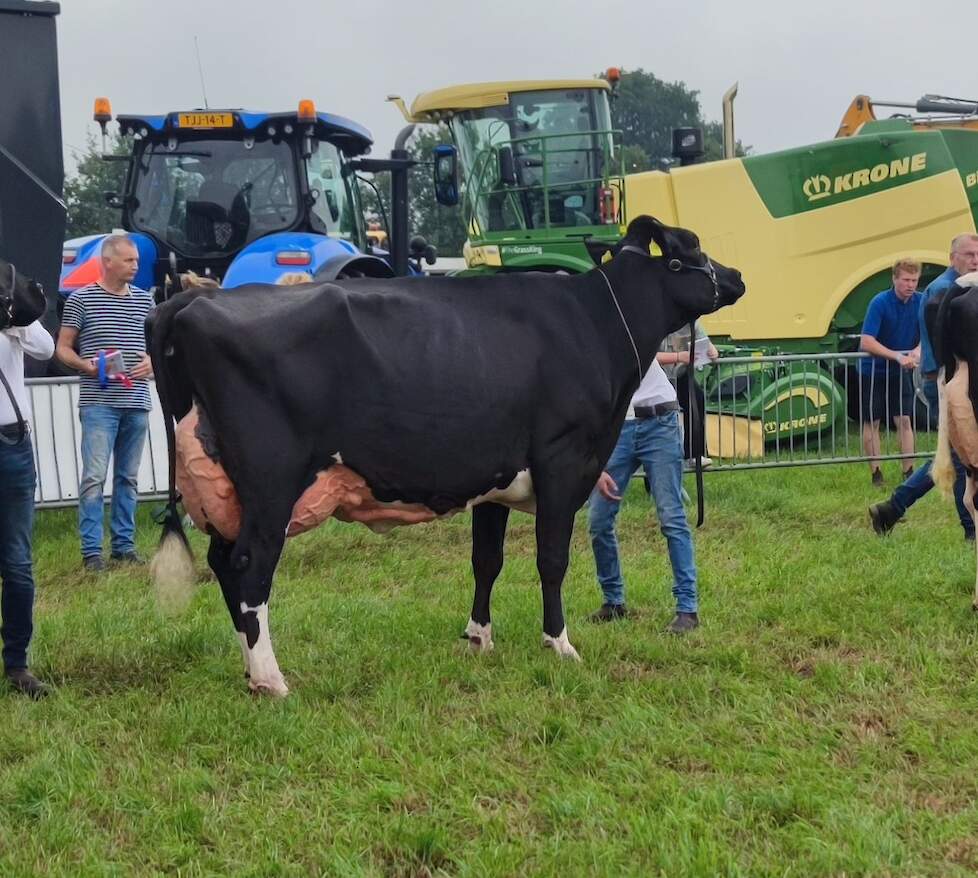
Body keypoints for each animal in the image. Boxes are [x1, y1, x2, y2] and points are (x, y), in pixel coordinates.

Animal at [145, 215, 740, 696]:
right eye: (690, 251)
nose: (735, 276)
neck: (594, 324)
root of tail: (191, 299)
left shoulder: (496, 475)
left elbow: (487, 559)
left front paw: (478, 638)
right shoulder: (562, 460)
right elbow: (552, 560)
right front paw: (560, 644)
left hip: (228, 491)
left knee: (223, 562)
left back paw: (250, 671)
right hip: (271, 482)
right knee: (249, 568)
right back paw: (271, 679)